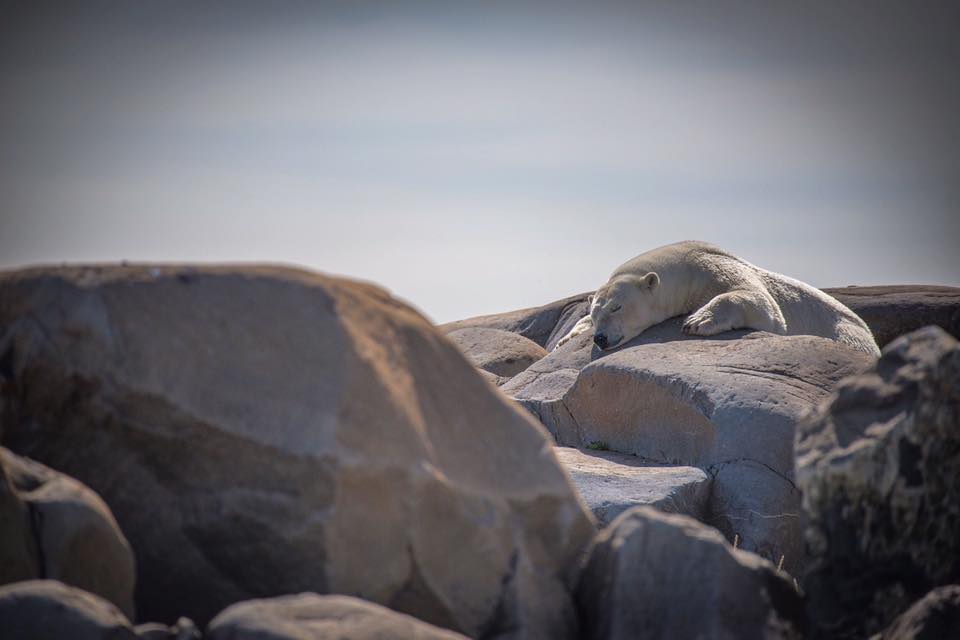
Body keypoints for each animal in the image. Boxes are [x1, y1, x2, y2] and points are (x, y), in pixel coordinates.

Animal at [555, 240, 881, 356]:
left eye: (617, 307)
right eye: (597, 313)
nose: (600, 338)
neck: (685, 267)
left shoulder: (713, 267)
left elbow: (762, 303)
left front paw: (698, 320)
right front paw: (567, 337)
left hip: (848, 333)